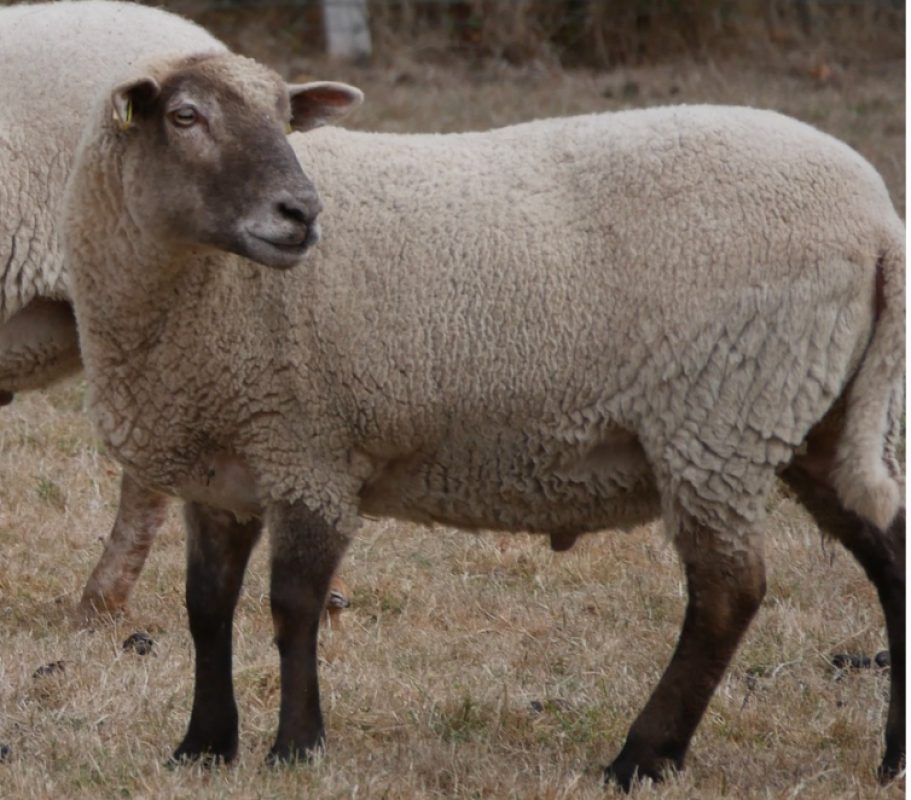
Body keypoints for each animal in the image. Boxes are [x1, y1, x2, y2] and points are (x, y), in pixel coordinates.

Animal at [61, 51, 904, 788]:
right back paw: (888, 759)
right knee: (888, 551)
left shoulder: (310, 447)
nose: (301, 212)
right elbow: (206, 607)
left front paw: (296, 748)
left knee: (728, 593)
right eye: (185, 116)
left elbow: (293, 606)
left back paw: (641, 757)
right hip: (813, 414)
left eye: (283, 116)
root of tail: (878, 221)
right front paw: (202, 747)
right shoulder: (222, 464)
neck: (195, 296)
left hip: (718, 416)